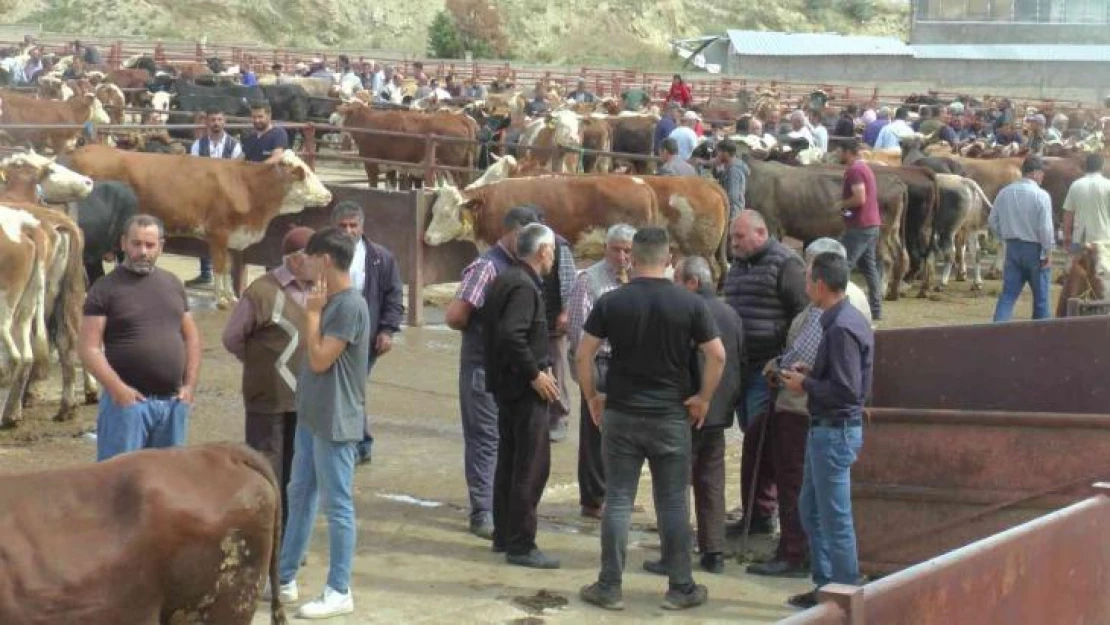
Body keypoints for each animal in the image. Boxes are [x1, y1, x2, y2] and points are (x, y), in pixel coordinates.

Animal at [66, 142, 328, 308]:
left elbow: (229, 266)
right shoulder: (218, 234)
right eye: (302, 173)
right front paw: (221, 300)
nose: (328, 194)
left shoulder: (229, 237)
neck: (245, 186)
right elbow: (221, 266)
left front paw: (231, 297)